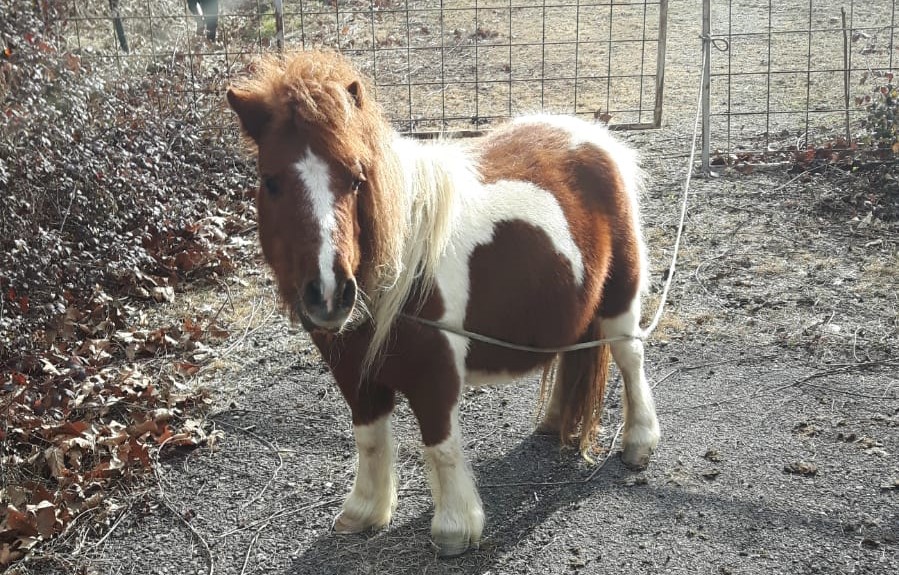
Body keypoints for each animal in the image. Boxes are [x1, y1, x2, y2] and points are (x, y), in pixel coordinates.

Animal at [226, 50, 660, 556]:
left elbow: (440, 442)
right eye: (270, 181)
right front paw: (363, 512)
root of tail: (594, 137)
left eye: (356, 179)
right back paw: (554, 421)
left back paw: (639, 442)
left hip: (620, 296)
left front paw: (455, 529)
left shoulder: (435, 373)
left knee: (630, 357)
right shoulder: (353, 373)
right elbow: (369, 438)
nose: (330, 293)